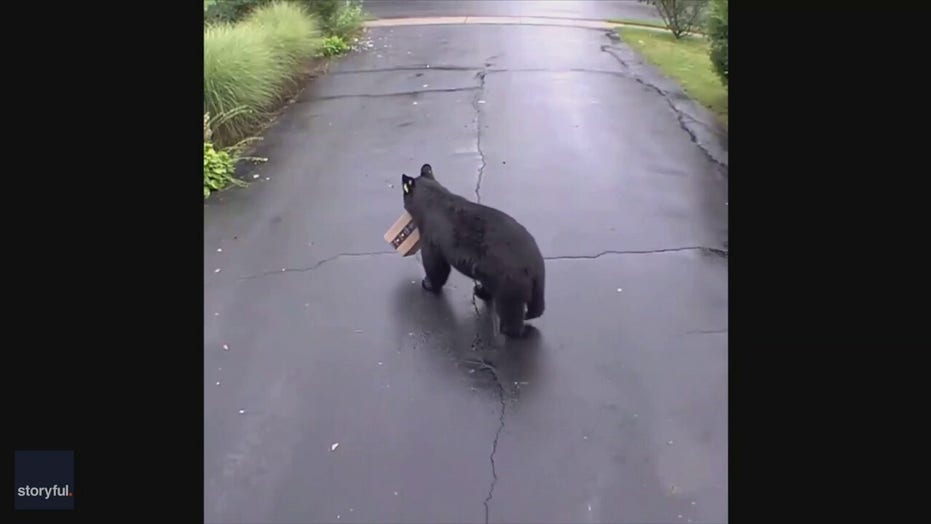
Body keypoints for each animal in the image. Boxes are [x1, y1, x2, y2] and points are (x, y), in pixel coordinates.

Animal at [400, 163, 545, 338]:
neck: (433, 200)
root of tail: (533, 268)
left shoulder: (432, 235)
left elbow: (435, 264)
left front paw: (427, 283)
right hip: (525, 281)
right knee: (535, 306)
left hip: (508, 280)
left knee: (509, 308)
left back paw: (513, 329)